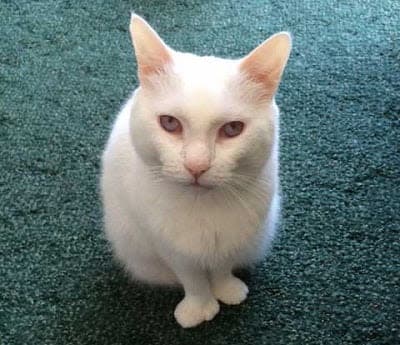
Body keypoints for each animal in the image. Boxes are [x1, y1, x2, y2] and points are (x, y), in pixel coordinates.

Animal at [101, 14, 290, 326]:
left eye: (233, 129)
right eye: (169, 123)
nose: (197, 166)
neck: (201, 205)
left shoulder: (231, 238)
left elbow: (222, 267)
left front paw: (227, 290)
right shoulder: (168, 246)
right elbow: (192, 279)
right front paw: (198, 308)